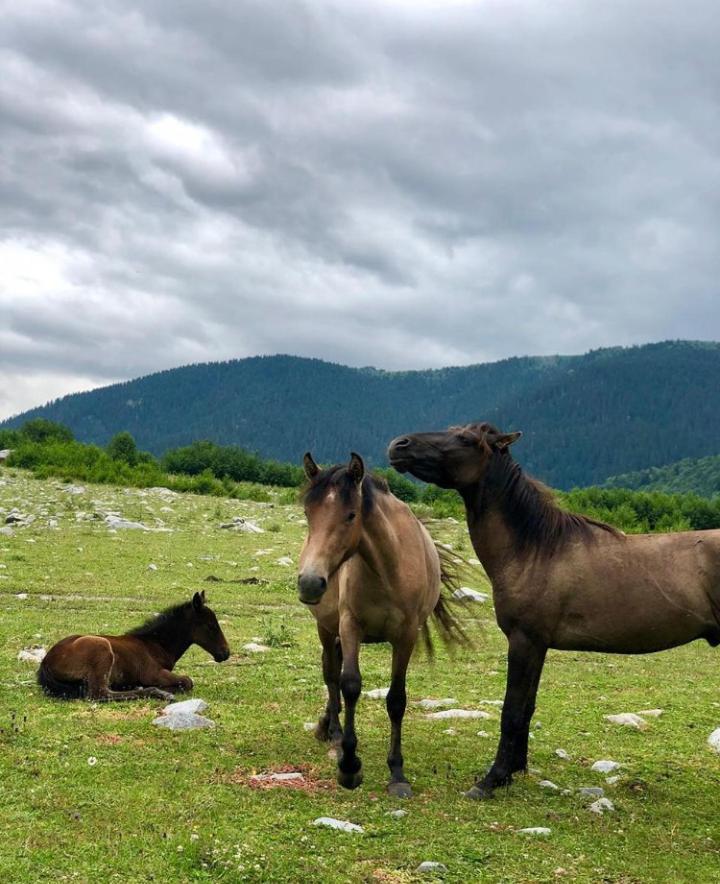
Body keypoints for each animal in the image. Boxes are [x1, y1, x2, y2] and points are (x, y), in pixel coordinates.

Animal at [39, 592, 231, 700]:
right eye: (211, 626)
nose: (225, 653)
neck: (156, 645)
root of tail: (46, 662)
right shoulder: (153, 673)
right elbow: (187, 681)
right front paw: (165, 689)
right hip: (102, 649)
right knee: (100, 694)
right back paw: (159, 693)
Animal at [298, 452, 466, 796]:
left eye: (351, 515)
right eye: (308, 513)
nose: (309, 582)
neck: (388, 569)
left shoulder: (406, 636)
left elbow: (397, 699)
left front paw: (397, 773)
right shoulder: (350, 626)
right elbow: (349, 685)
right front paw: (349, 766)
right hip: (327, 628)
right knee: (330, 673)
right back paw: (334, 731)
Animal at [390, 424, 720, 800]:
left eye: (466, 440)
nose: (399, 445)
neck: (536, 549)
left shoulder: (524, 641)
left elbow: (512, 711)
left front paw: (492, 780)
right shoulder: (539, 645)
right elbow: (527, 708)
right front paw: (514, 770)